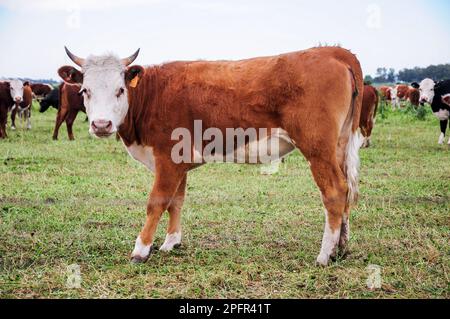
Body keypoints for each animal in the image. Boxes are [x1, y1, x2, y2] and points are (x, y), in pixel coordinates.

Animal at [59, 47, 364, 268]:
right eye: (85, 91)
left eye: (120, 90)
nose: (101, 125)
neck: (152, 96)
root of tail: (333, 51)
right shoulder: (178, 162)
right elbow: (176, 202)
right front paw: (171, 242)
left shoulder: (167, 159)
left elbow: (156, 202)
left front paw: (141, 249)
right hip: (339, 147)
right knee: (347, 191)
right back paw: (341, 248)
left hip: (317, 148)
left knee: (334, 192)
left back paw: (324, 255)